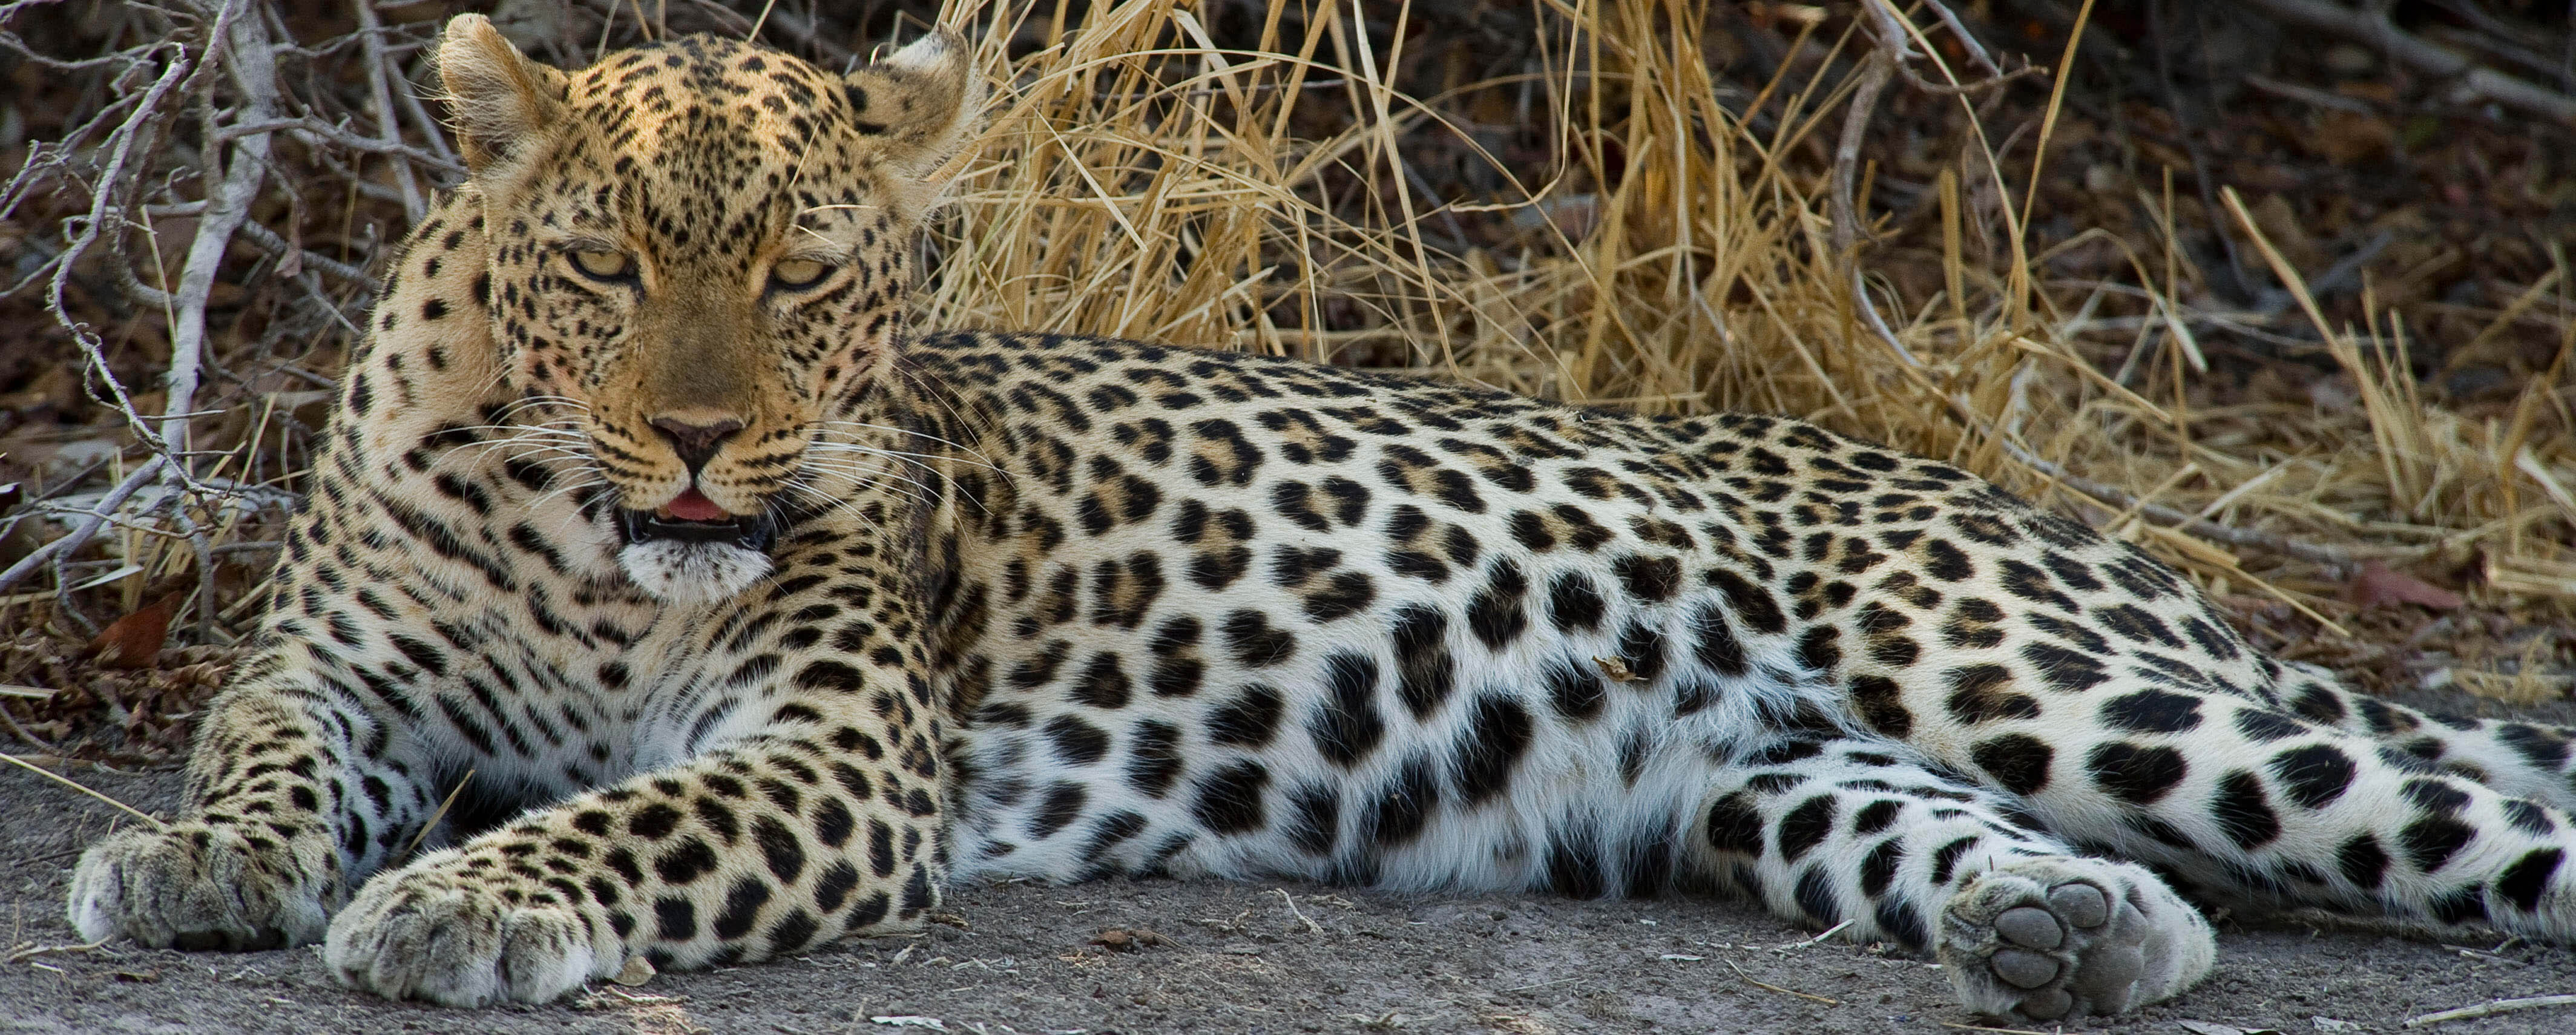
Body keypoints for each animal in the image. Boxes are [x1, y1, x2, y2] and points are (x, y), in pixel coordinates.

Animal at [55, 14, 2576, 1019]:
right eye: (603, 264)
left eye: (796, 274)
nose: (692, 446)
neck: (584, 545)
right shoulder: (332, 662)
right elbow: (259, 751)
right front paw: (197, 863)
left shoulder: (837, 753)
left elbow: (622, 820)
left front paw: (464, 901)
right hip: (1786, 784)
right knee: (2089, 872)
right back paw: (2058, 938)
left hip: (2034, 675)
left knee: (2453, 819)